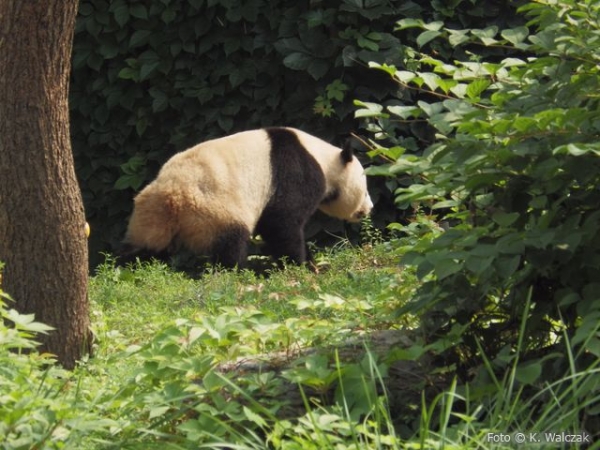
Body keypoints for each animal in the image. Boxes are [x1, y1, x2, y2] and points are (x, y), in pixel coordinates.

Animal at [121, 125, 372, 268]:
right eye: (365, 187)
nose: (369, 208)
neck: (322, 157)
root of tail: (173, 195)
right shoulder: (296, 172)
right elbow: (280, 221)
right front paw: (303, 265)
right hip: (213, 207)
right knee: (231, 240)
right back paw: (236, 270)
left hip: (150, 213)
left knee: (145, 246)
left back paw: (133, 270)